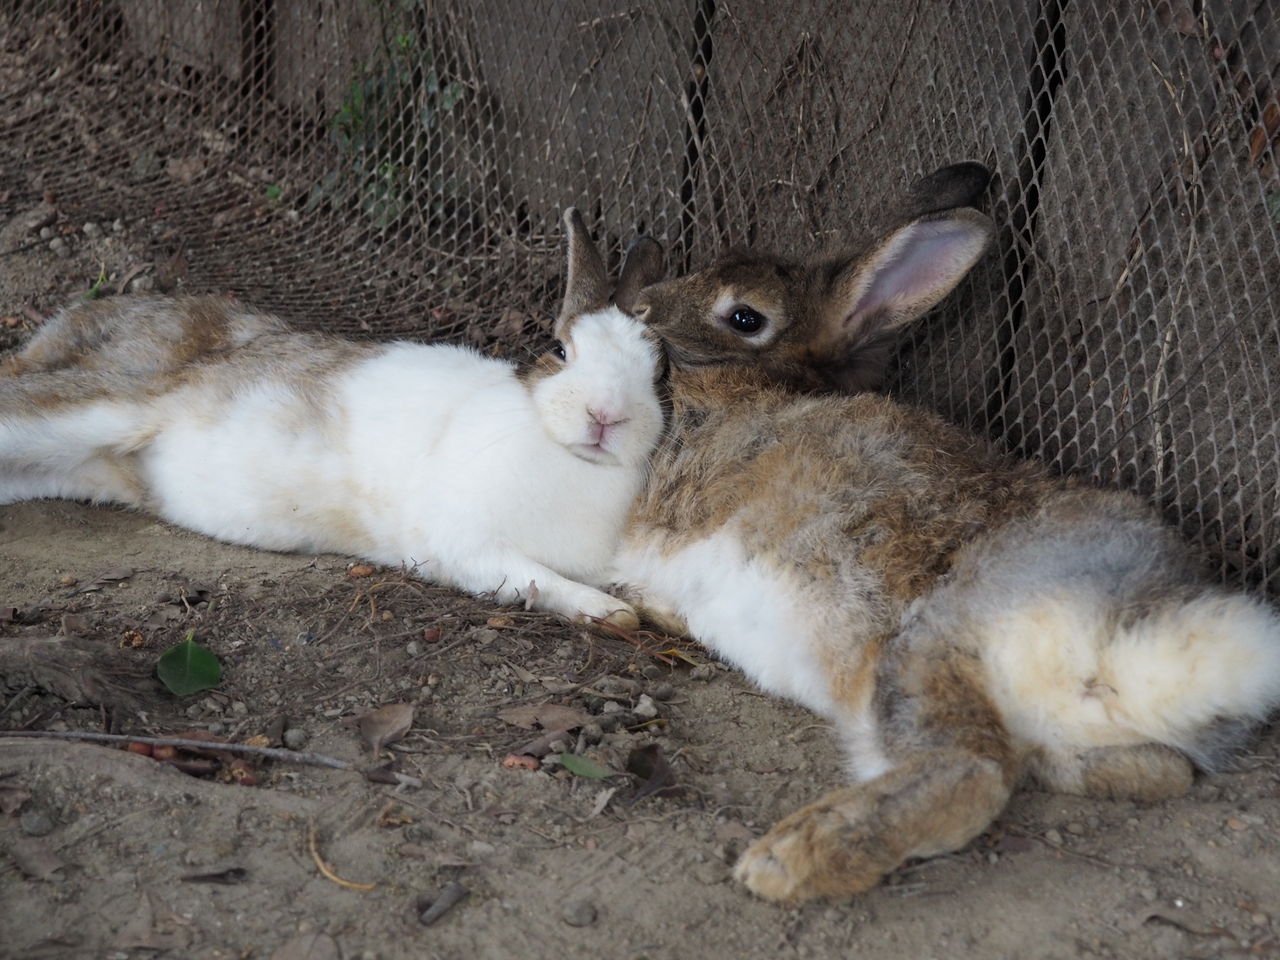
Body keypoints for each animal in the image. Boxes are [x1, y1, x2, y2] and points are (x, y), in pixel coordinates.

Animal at [5, 209, 670, 627]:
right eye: (560, 351)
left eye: (658, 371)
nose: (606, 416)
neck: (569, 459)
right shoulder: (467, 543)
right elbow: (535, 579)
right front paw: (610, 614)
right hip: (100, 407)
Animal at [596, 165, 1280, 901]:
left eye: (744, 314)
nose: (643, 307)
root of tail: (1134, 647)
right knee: (1149, 770)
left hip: (925, 649)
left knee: (972, 768)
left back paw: (793, 855)